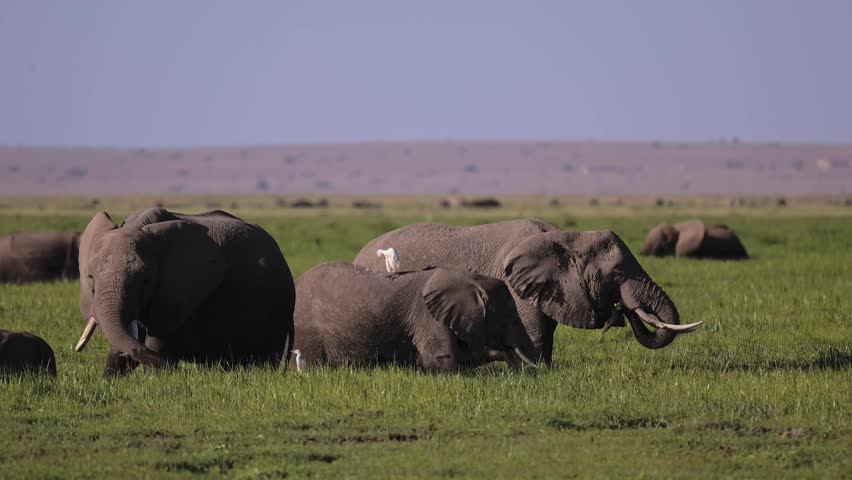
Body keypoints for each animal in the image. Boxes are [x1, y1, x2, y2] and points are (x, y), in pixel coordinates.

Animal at [73, 207, 296, 377]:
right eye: (90, 278)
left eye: (145, 280)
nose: (176, 367)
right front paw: (110, 378)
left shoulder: (177, 291)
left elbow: (159, 337)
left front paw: (156, 376)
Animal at [353, 218, 702, 365]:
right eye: (616, 274)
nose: (622, 310)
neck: (567, 236)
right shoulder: (515, 286)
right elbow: (533, 335)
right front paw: (535, 373)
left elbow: (545, 334)